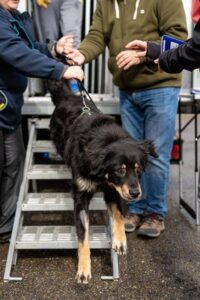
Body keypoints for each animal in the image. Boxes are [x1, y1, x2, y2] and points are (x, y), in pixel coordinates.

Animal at [48, 79, 158, 284]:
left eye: (138, 170)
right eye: (119, 170)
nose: (135, 193)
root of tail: (68, 97)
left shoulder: (114, 190)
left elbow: (119, 216)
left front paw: (120, 241)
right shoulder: (81, 196)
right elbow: (83, 235)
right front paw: (83, 269)